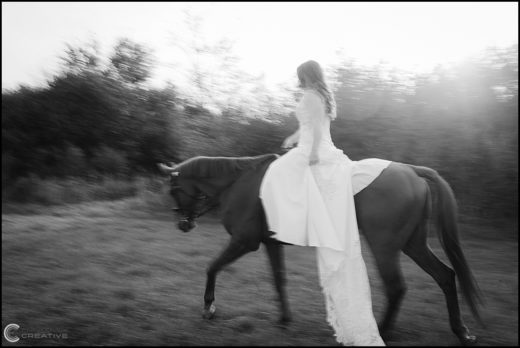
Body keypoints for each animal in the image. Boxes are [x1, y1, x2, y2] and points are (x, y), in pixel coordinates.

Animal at [155, 155, 484, 346]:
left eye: (174, 190)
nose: (183, 224)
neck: (243, 184)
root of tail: (412, 172)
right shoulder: (270, 244)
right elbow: (279, 281)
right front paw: (284, 319)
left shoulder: (243, 242)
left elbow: (212, 267)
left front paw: (209, 307)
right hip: (412, 244)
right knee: (445, 276)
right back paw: (460, 330)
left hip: (385, 246)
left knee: (396, 287)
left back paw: (382, 330)